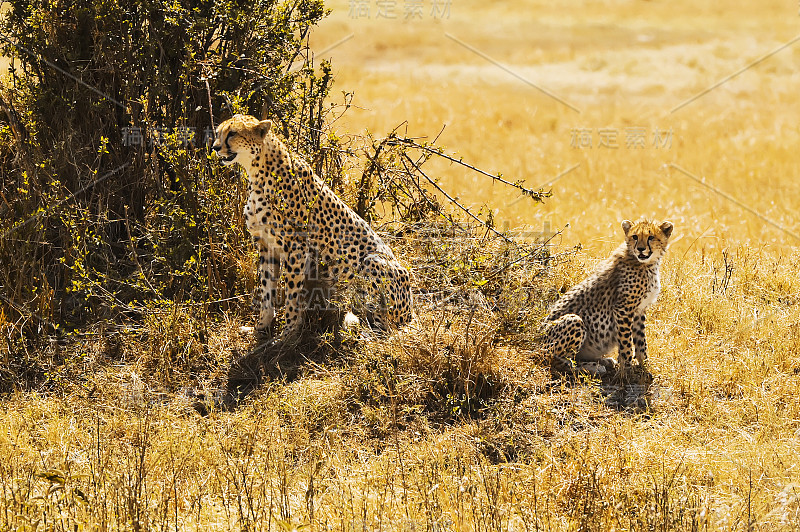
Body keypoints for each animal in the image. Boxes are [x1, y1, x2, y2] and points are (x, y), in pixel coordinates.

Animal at [212, 114, 412, 336]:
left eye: (232, 133)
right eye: (218, 132)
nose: (215, 147)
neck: (257, 172)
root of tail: (410, 314)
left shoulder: (295, 247)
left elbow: (292, 293)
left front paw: (288, 332)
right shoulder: (265, 244)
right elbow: (266, 289)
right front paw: (261, 327)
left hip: (372, 262)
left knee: (386, 329)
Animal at [544, 218, 676, 376]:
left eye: (651, 237)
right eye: (635, 237)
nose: (640, 249)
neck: (646, 263)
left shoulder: (639, 311)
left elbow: (641, 341)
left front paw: (645, 366)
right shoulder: (623, 309)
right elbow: (626, 343)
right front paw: (626, 370)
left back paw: (604, 361)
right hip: (573, 321)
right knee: (557, 362)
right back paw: (592, 367)